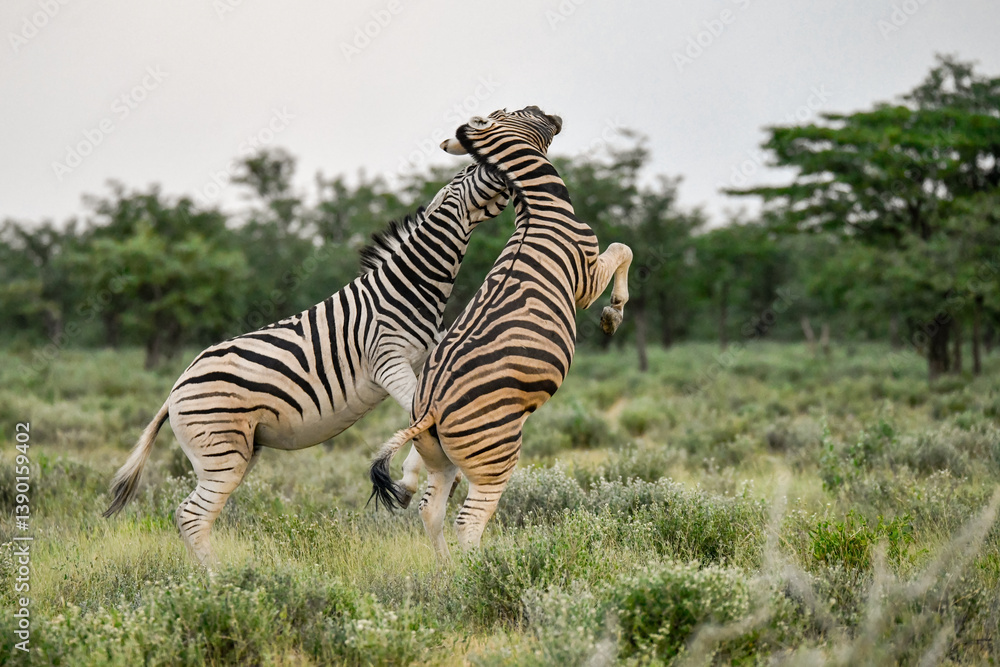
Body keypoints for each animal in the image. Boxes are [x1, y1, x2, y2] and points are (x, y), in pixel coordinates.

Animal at [102, 162, 509, 565]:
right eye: (471, 170)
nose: (505, 174)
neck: (408, 289)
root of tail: (174, 391)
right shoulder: (387, 359)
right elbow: (417, 412)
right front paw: (412, 479)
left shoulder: (426, 359)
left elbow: (423, 412)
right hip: (222, 451)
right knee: (192, 516)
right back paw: (222, 579)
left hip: (237, 451)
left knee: (187, 513)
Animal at [369, 106, 633, 559]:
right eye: (523, 111)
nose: (555, 114)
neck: (539, 204)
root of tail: (430, 407)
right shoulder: (586, 274)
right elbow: (623, 250)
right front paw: (613, 313)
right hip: (496, 457)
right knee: (468, 522)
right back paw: (486, 570)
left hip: (441, 460)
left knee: (430, 510)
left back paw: (448, 573)